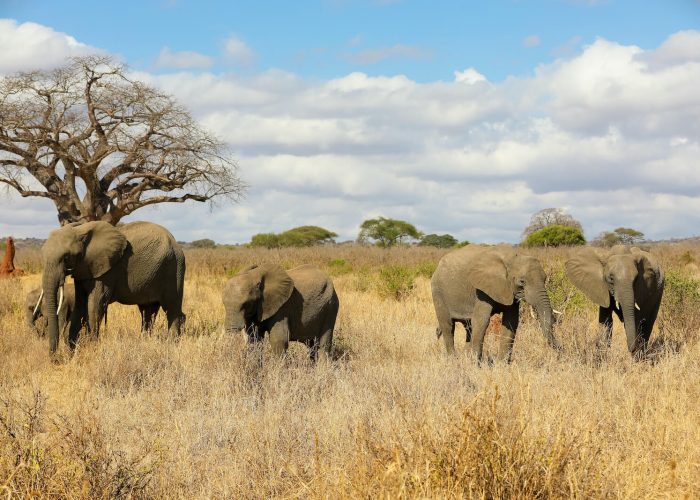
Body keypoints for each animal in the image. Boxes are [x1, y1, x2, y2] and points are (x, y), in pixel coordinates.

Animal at [39, 221, 185, 354]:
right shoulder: (83, 269)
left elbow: (94, 306)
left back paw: (171, 344)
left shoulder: (105, 272)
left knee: (171, 308)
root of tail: (175, 242)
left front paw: (92, 347)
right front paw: (72, 351)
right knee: (148, 311)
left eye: (66, 257)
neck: (80, 230)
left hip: (173, 268)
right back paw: (145, 341)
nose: (54, 358)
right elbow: (80, 306)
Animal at [430, 245, 560, 360]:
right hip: (438, 292)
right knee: (448, 326)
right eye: (522, 281)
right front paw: (476, 365)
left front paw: (502, 364)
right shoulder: (482, 289)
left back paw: (465, 358)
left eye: (545, 279)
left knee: (468, 327)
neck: (511, 257)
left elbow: (511, 321)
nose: (561, 351)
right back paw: (453, 360)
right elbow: (481, 320)